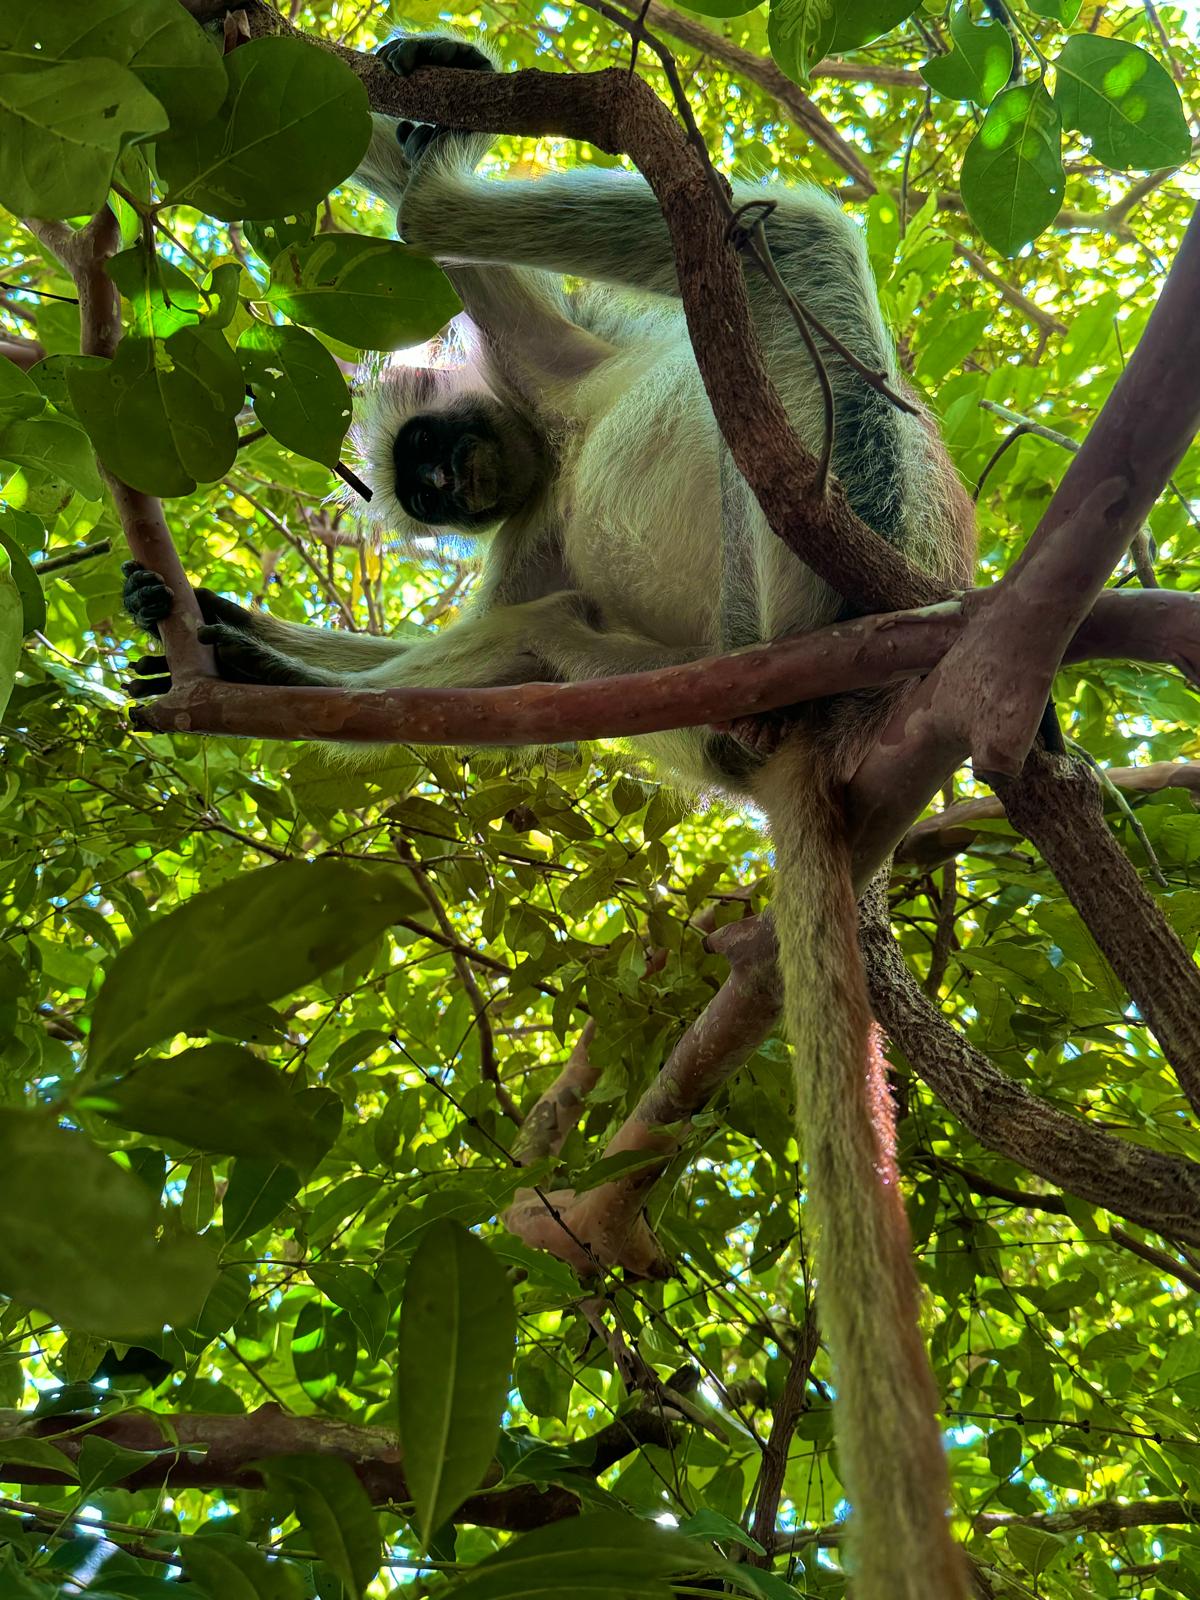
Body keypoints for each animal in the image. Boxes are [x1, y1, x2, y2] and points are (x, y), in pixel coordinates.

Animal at [124, 31, 975, 1598]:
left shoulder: (545, 395)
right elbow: (467, 655)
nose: (449, 481)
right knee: (552, 638)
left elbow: (474, 265)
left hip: (824, 516)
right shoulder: (531, 540)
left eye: (435, 463)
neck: (554, 452)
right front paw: (231, 647)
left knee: (777, 240)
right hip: (682, 642)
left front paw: (405, 130)